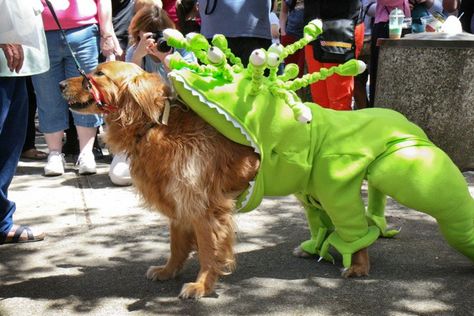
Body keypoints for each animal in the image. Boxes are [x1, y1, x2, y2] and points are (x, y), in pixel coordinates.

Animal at [59, 61, 262, 298]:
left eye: (100, 73)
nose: (60, 84)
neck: (154, 127)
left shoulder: (203, 207)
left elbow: (208, 250)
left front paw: (202, 285)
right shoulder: (177, 203)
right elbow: (176, 245)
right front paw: (168, 270)